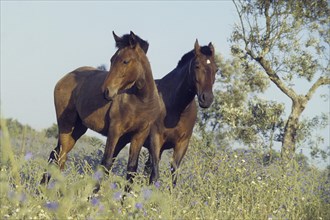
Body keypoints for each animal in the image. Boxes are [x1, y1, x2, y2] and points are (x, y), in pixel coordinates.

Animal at [41, 31, 162, 191]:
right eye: (112, 60)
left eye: (125, 61)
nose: (106, 91)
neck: (141, 101)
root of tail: (65, 78)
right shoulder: (115, 131)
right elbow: (106, 163)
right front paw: (93, 195)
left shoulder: (139, 135)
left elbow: (131, 169)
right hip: (66, 125)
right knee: (60, 156)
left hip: (77, 129)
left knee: (57, 156)